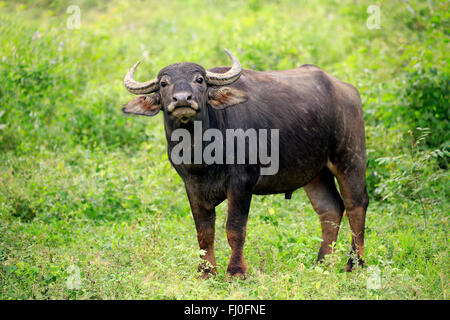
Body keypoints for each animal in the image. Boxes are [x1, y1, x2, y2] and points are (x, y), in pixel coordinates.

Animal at [121, 49, 368, 278]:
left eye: (199, 79)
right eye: (164, 83)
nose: (182, 99)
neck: (202, 153)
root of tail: (347, 90)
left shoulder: (242, 183)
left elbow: (235, 229)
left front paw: (236, 271)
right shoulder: (192, 186)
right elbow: (204, 232)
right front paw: (206, 272)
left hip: (350, 158)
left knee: (356, 205)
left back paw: (354, 264)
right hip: (315, 172)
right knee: (330, 208)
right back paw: (322, 263)